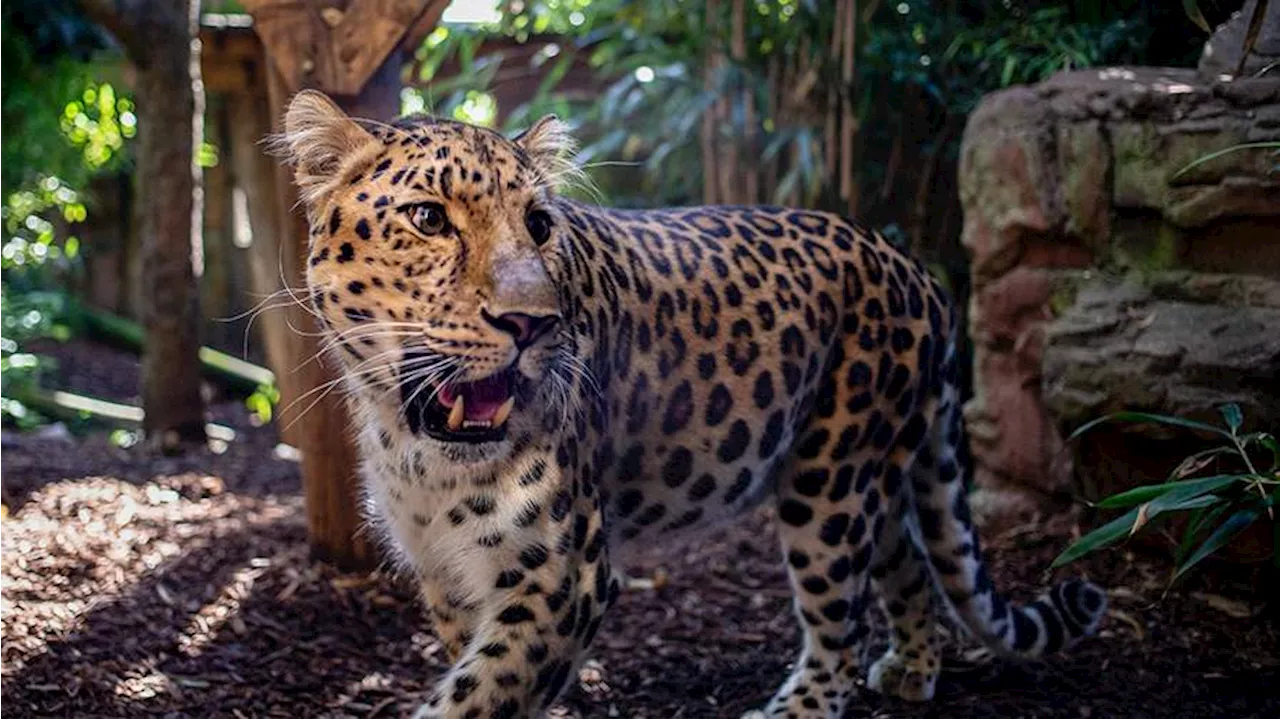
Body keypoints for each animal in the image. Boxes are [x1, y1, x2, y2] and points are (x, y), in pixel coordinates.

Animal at [272, 90, 1111, 716]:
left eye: (540, 226)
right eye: (427, 219)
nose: (532, 322)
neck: (419, 449)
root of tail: (915, 269)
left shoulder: (565, 572)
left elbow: (481, 691)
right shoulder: (446, 573)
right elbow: (479, 669)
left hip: (830, 479)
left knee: (840, 621)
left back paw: (800, 705)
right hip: (874, 469)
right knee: (907, 561)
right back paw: (912, 667)